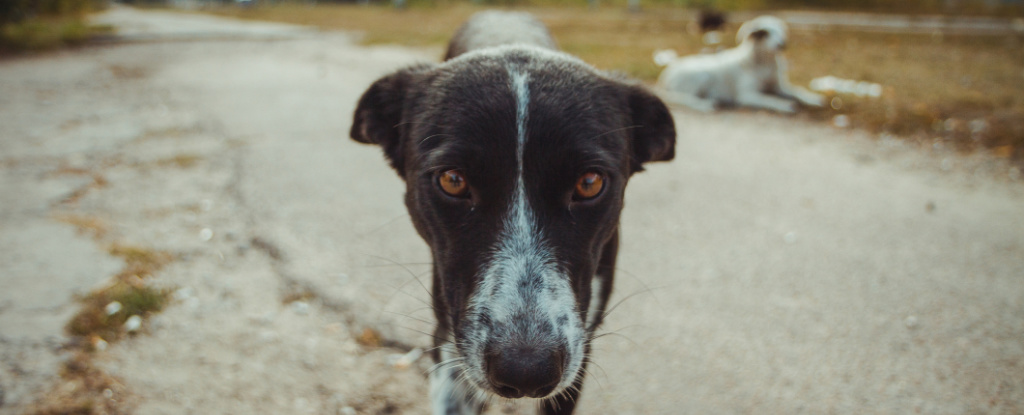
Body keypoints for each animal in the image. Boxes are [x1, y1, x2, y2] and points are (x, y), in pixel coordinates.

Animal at [655, 15, 823, 113]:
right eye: (764, 33)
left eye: (780, 30)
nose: (782, 44)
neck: (765, 64)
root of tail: (664, 76)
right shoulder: (746, 94)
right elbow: (767, 99)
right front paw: (784, 105)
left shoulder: (779, 86)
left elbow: (798, 90)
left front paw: (813, 99)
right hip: (701, 76)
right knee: (680, 97)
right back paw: (705, 104)